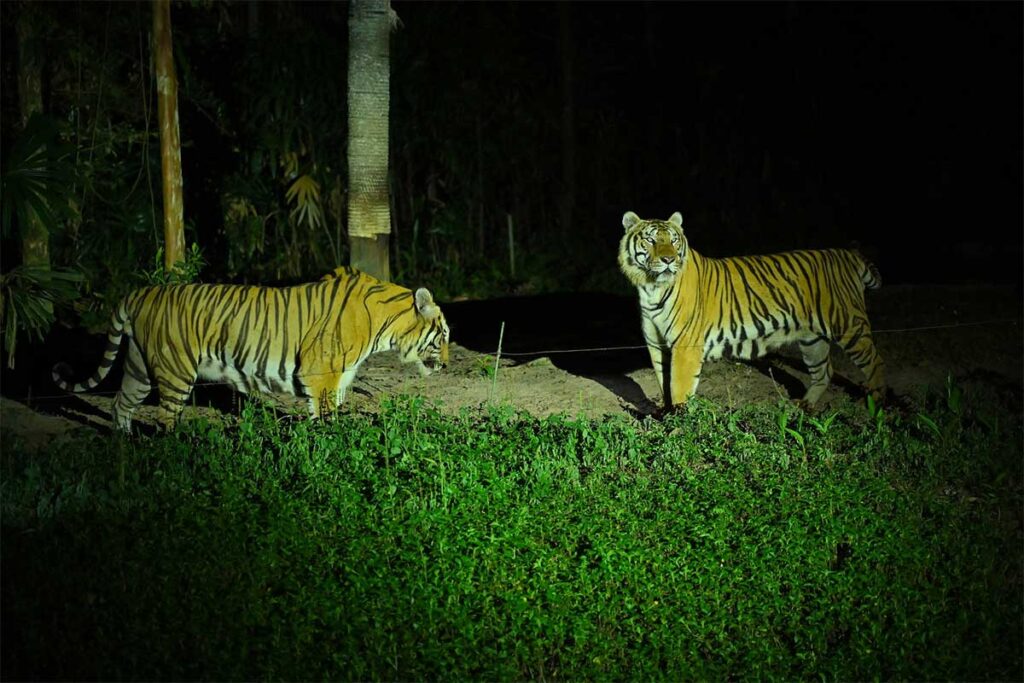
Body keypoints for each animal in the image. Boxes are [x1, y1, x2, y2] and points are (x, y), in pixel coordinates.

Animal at [52, 266, 450, 431]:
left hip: (139, 368)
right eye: (443, 336)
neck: (387, 325)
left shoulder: (336, 378)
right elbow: (324, 416)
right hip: (175, 370)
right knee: (166, 419)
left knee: (120, 405)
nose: (446, 364)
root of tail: (141, 292)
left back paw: (124, 445)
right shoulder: (320, 374)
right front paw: (332, 446)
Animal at [618, 211, 885, 410]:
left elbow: (679, 387)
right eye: (651, 240)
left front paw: (678, 422)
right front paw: (665, 414)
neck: (651, 286)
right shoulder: (656, 343)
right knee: (824, 370)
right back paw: (805, 406)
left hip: (848, 325)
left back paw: (877, 406)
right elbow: (664, 382)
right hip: (812, 339)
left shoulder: (685, 345)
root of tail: (845, 254)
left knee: (875, 362)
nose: (668, 260)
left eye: (673, 241)